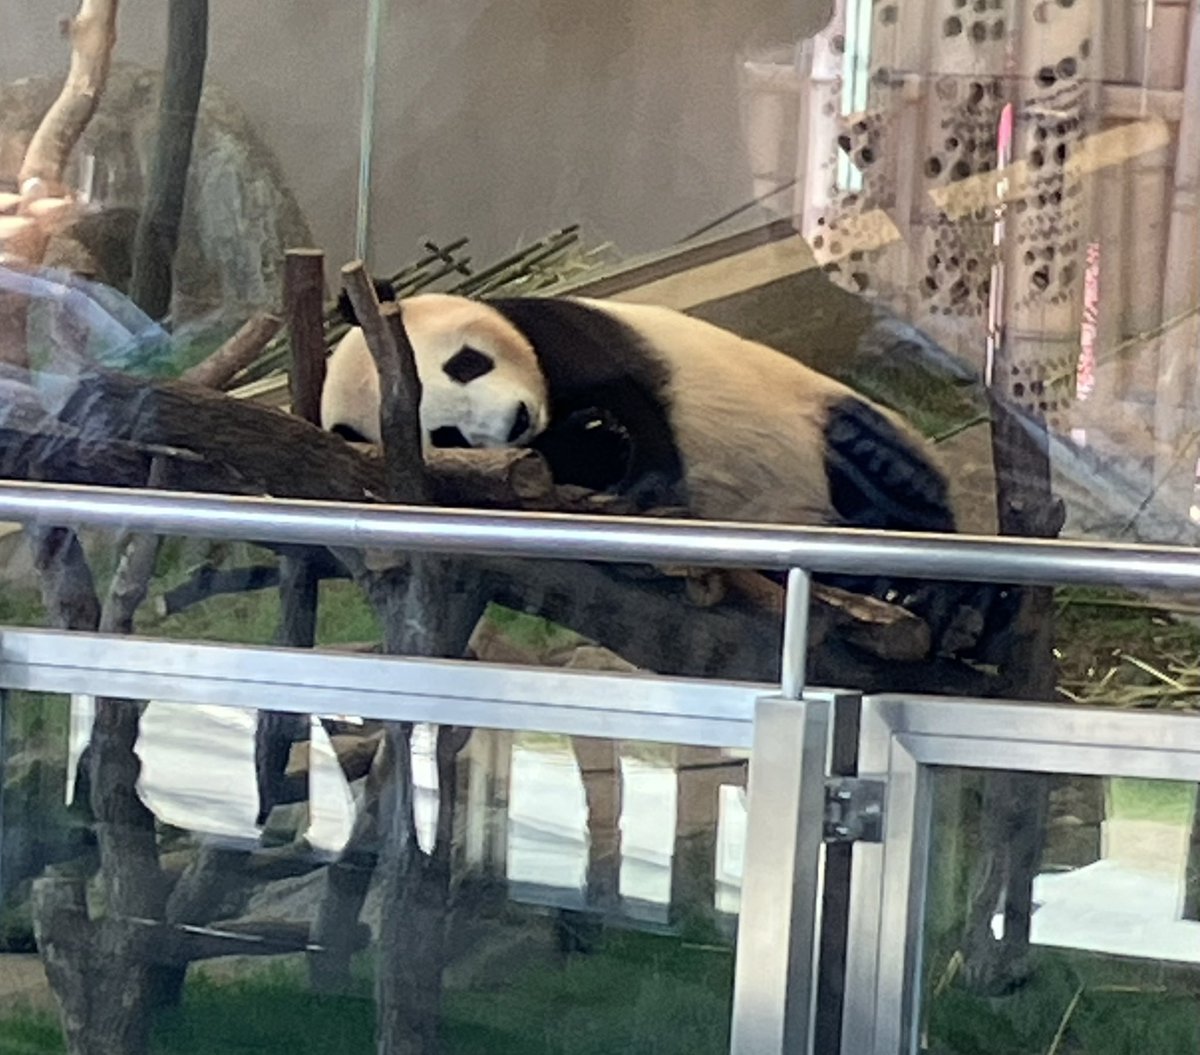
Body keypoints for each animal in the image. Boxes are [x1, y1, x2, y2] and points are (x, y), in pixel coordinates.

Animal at [322, 286, 983, 649]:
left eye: (465, 364)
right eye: (445, 435)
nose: (514, 422)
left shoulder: (562, 331)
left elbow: (633, 402)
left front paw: (618, 455)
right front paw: (591, 447)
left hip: (820, 423)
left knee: (882, 471)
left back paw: (934, 596)